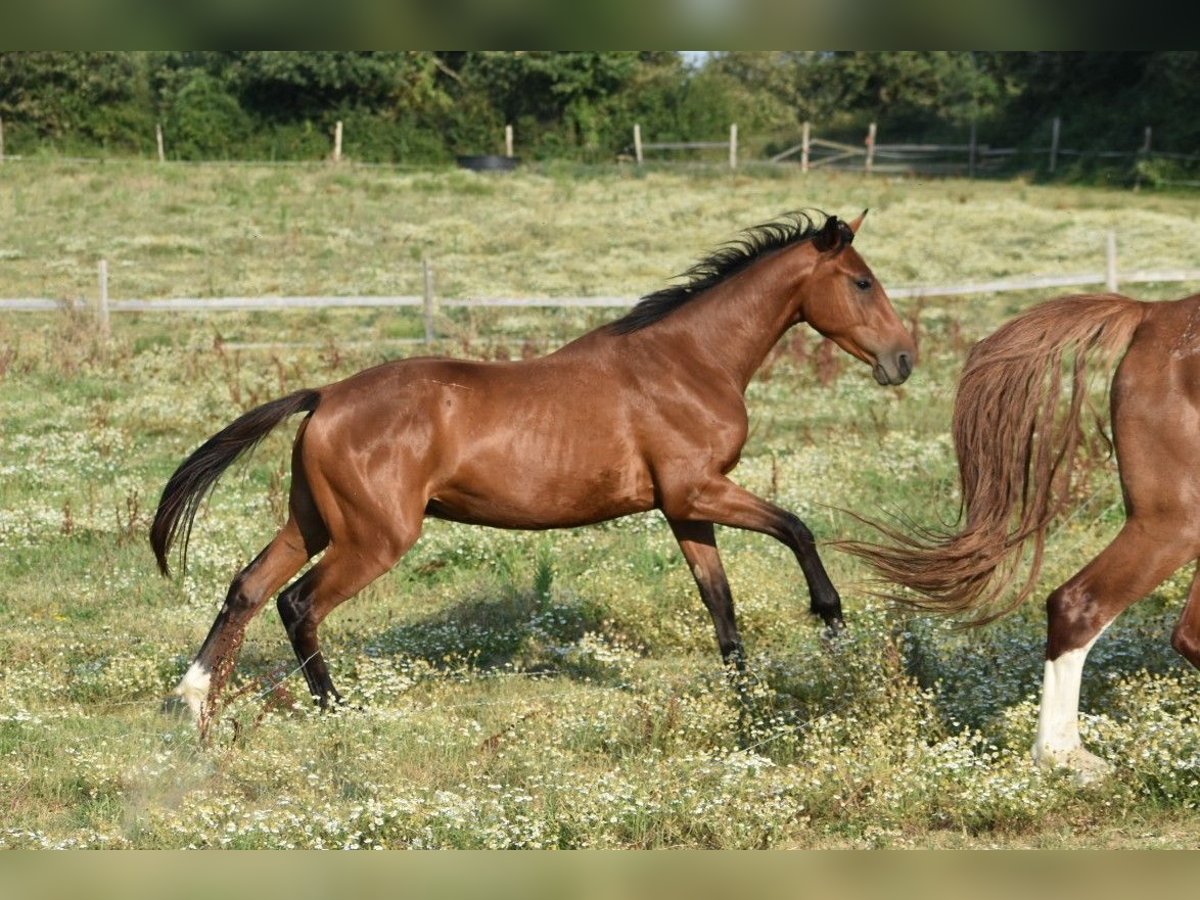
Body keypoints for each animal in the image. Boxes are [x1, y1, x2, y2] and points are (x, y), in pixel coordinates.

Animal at [152, 213, 916, 739]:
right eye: (862, 281)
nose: (903, 359)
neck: (688, 361)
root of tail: (326, 396)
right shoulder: (700, 490)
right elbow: (798, 529)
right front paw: (834, 631)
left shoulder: (684, 508)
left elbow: (720, 606)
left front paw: (748, 701)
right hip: (374, 539)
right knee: (299, 603)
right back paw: (338, 710)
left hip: (312, 520)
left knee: (248, 588)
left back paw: (195, 706)